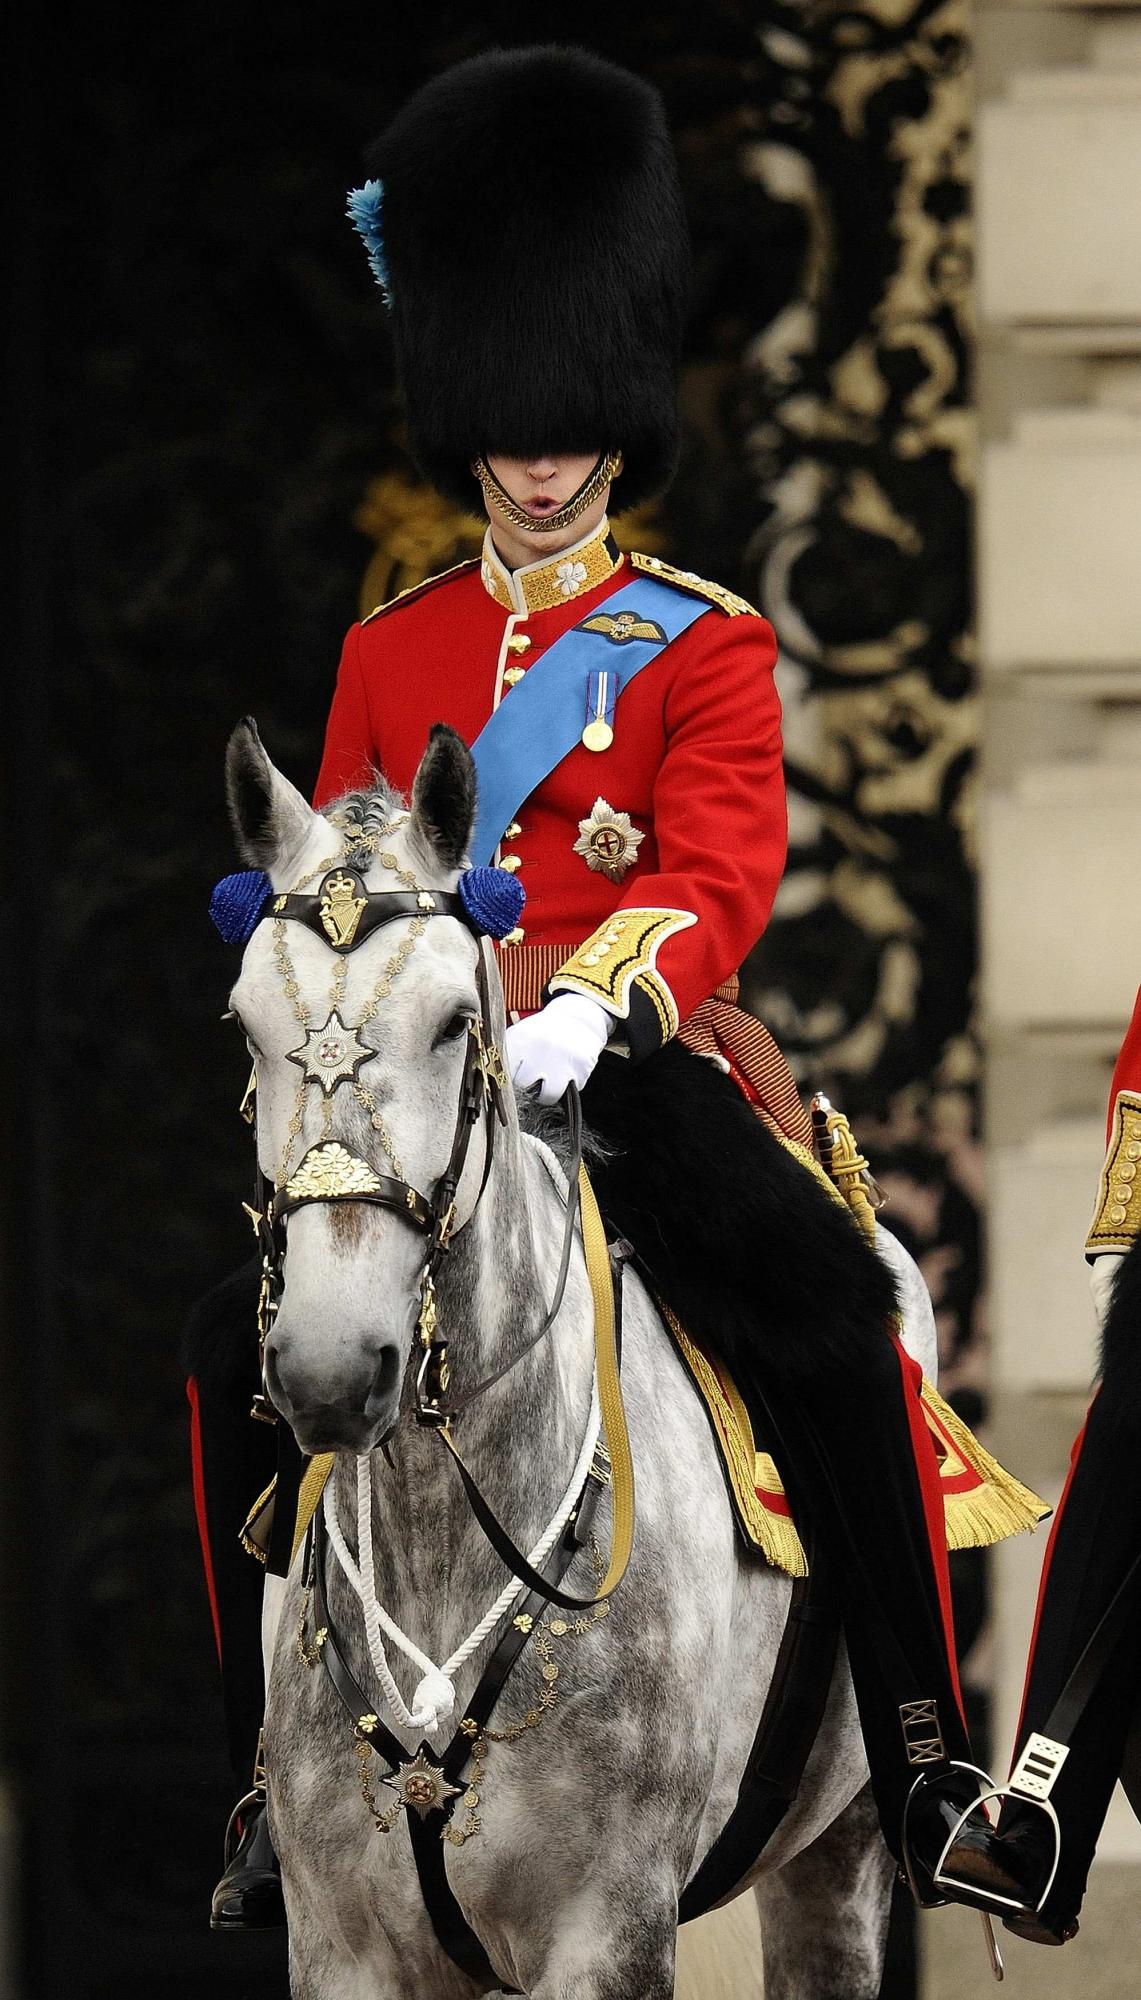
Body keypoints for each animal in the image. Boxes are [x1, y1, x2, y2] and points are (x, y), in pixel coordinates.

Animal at [224, 724, 932, 2000]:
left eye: (458, 1022)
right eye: (245, 1024)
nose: (332, 1366)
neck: (439, 1533)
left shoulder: (604, 1927)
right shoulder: (343, 1943)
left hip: (843, 1850)